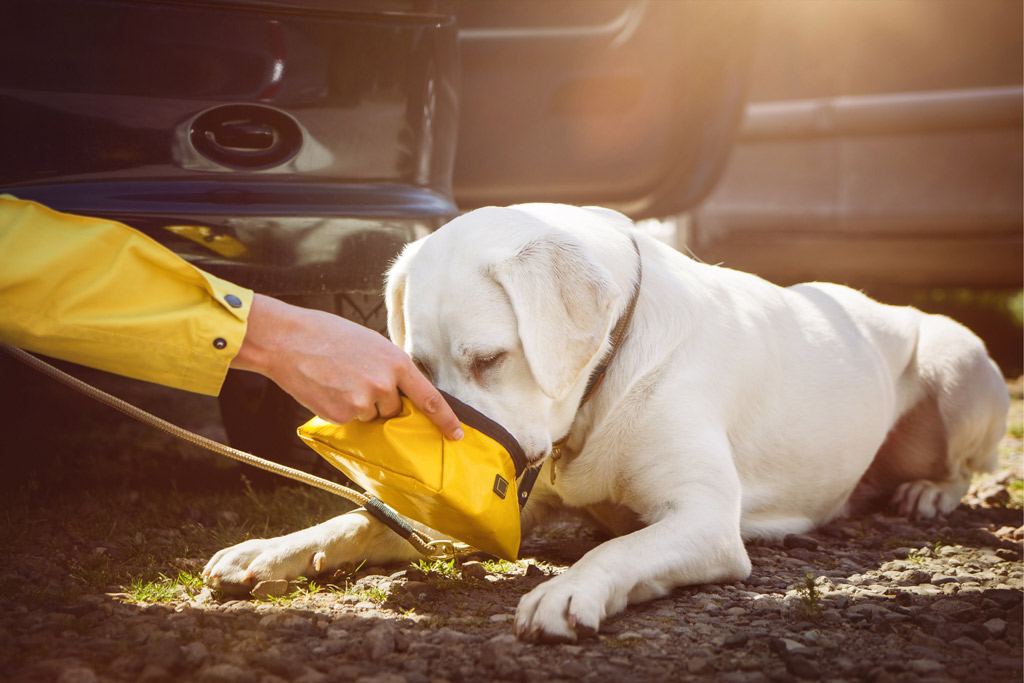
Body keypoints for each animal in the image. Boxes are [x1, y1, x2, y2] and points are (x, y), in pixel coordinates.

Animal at [203, 205, 1011, 643]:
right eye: (419, 367)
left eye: (490, 359)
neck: (601, 387)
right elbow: (354, 521)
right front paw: (269, 549)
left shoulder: (703, 521)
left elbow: (619, 551)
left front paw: (569, 591)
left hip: (956, 359)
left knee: (965, 464)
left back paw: (929, 494)